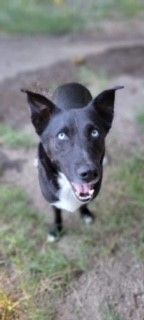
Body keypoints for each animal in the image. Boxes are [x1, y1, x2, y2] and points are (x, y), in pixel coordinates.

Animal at [22, 81, 123, 241]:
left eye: (95, 132)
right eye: (61, 135)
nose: (90, 173)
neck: (67, 185)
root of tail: (71, 83)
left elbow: (84, 203)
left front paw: (85, 214)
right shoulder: (52, 198)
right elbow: (56, 212)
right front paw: (56, 230)